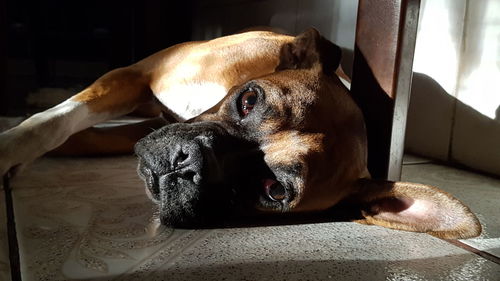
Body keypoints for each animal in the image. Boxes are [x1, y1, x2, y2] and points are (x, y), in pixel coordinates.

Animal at [0, 28, 480, 237]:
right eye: (249, 100)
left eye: (274, 190)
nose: (186, 162)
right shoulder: (136, 75)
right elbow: (54, 123)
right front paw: (10, 145)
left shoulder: (138, 125)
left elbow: (76, 136)